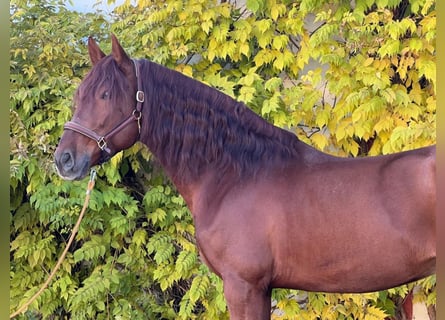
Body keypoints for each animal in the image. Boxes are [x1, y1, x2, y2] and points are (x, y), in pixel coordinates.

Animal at [54, 36, 434, 318]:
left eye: (106, 95)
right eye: (79, 95)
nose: (64, 159)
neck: (235, 174)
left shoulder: (243, 286)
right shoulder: (260, 289)